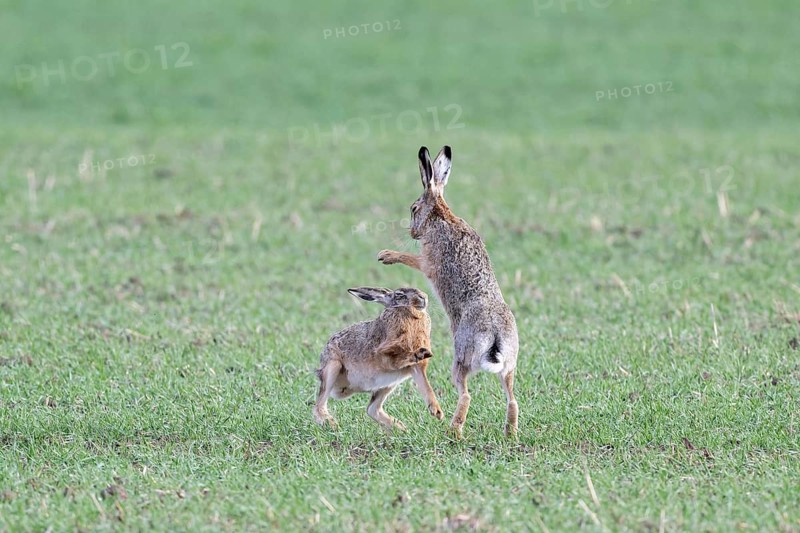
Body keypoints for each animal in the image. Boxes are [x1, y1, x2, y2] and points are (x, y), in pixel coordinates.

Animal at [313, 286, 444, 430]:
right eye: (399, 295)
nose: (424, 297)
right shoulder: (384, 353)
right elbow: (396, 358)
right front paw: (418, 353)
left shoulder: (416, 368)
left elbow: (426, 386)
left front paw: (437, 412)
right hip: (333, 366)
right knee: (318, 406)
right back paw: (331, 424)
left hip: (389, 383)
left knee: (372, 409)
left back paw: (401, 428)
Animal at [377, 146, 519, 438]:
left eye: (414, 208)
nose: (413, 232)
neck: (441, 216)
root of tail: (496, 336)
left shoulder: (428, 262)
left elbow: (411, 258)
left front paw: (386, 255)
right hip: (509, 365)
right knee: (512, 399)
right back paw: (510, 434)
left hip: (461, 358)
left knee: (465, 395)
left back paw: (453, 432)